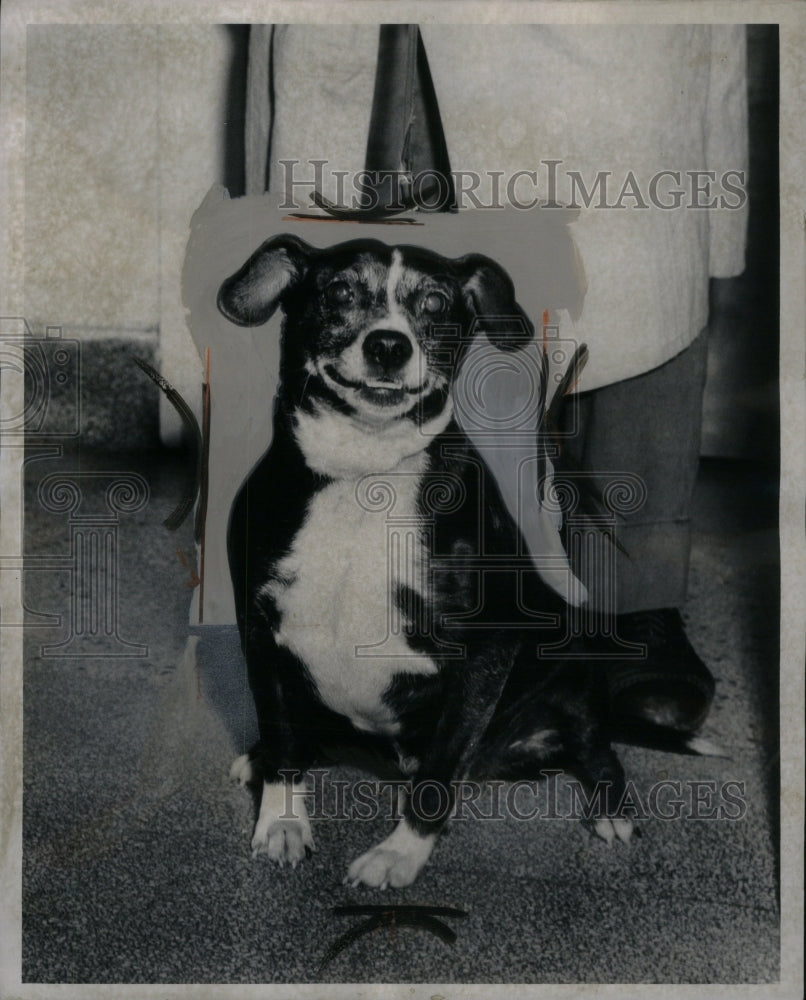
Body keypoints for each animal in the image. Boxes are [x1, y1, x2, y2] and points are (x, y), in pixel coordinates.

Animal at [218, 236, 636, 892]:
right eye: (339, 291)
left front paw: (399, 854)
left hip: (573, 668)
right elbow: (281, 733)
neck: (364, 476)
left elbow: (438, 775)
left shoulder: (485, 650)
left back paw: (611, 807)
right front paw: (281, 820)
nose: (389, 345)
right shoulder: (260, 633)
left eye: (436, 303)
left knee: (597, 745)